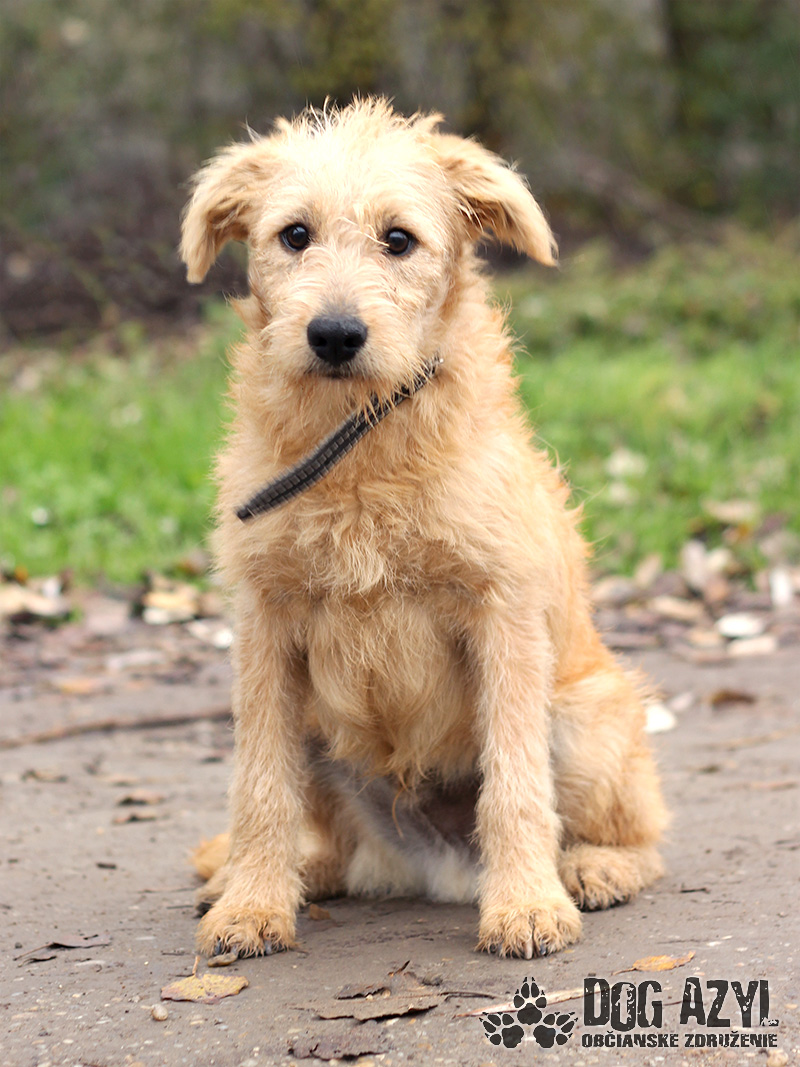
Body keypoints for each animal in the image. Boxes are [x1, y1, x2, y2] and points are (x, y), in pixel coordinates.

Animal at [180, 98, 667, 960]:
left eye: (399, 239)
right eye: (294, 235)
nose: (335, 335)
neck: (360, 445)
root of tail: (427, 866)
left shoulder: (501, 615)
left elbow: (514, 784)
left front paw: (527, 905)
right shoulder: (266, 628)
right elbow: (260, 787)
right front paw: (251, 904)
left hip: (584, 719)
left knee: (642, 832)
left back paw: (590, 869)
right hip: (320, 730)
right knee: (322, 831)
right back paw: (296, 872)